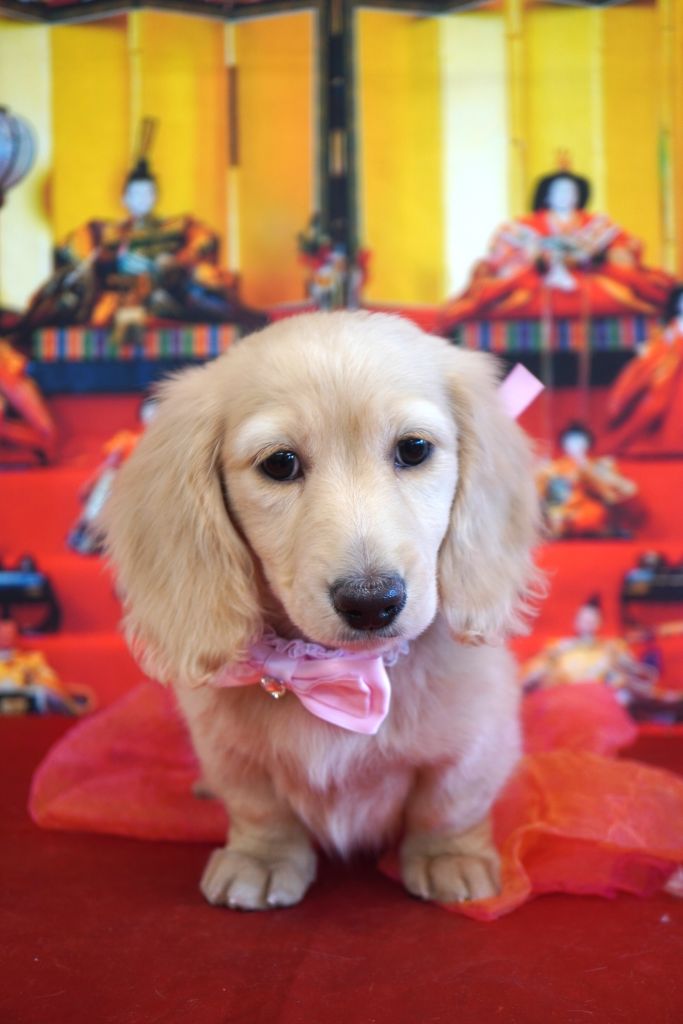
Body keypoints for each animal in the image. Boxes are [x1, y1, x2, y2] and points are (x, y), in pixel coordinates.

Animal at [104, 311, 541, 910]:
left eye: (414, 450)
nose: (372, 602)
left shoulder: (476, 741)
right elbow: (260, 809)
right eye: (280, 463)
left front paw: (449, 858)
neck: (336, 671)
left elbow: (448, 805)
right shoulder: (230, 754)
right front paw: (261, 860)